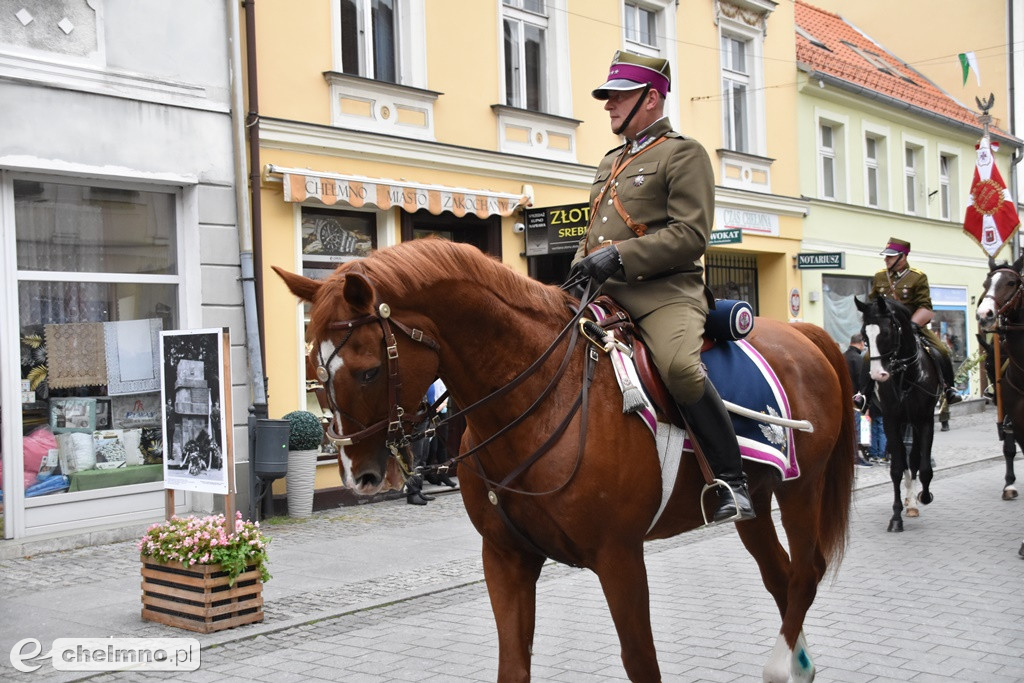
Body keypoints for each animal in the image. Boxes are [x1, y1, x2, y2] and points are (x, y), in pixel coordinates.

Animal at [274, 240, 856, 683]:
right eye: (312, 369)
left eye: (369, 370)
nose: (360, 475)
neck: (534, 400)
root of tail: (803, 333)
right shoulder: (506, 559)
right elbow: (514, 665)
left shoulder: (620, 557)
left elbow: (641, 662)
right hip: (754, 502)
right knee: (780, 577)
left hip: (800, 490)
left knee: (806, 574)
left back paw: (783, 664)